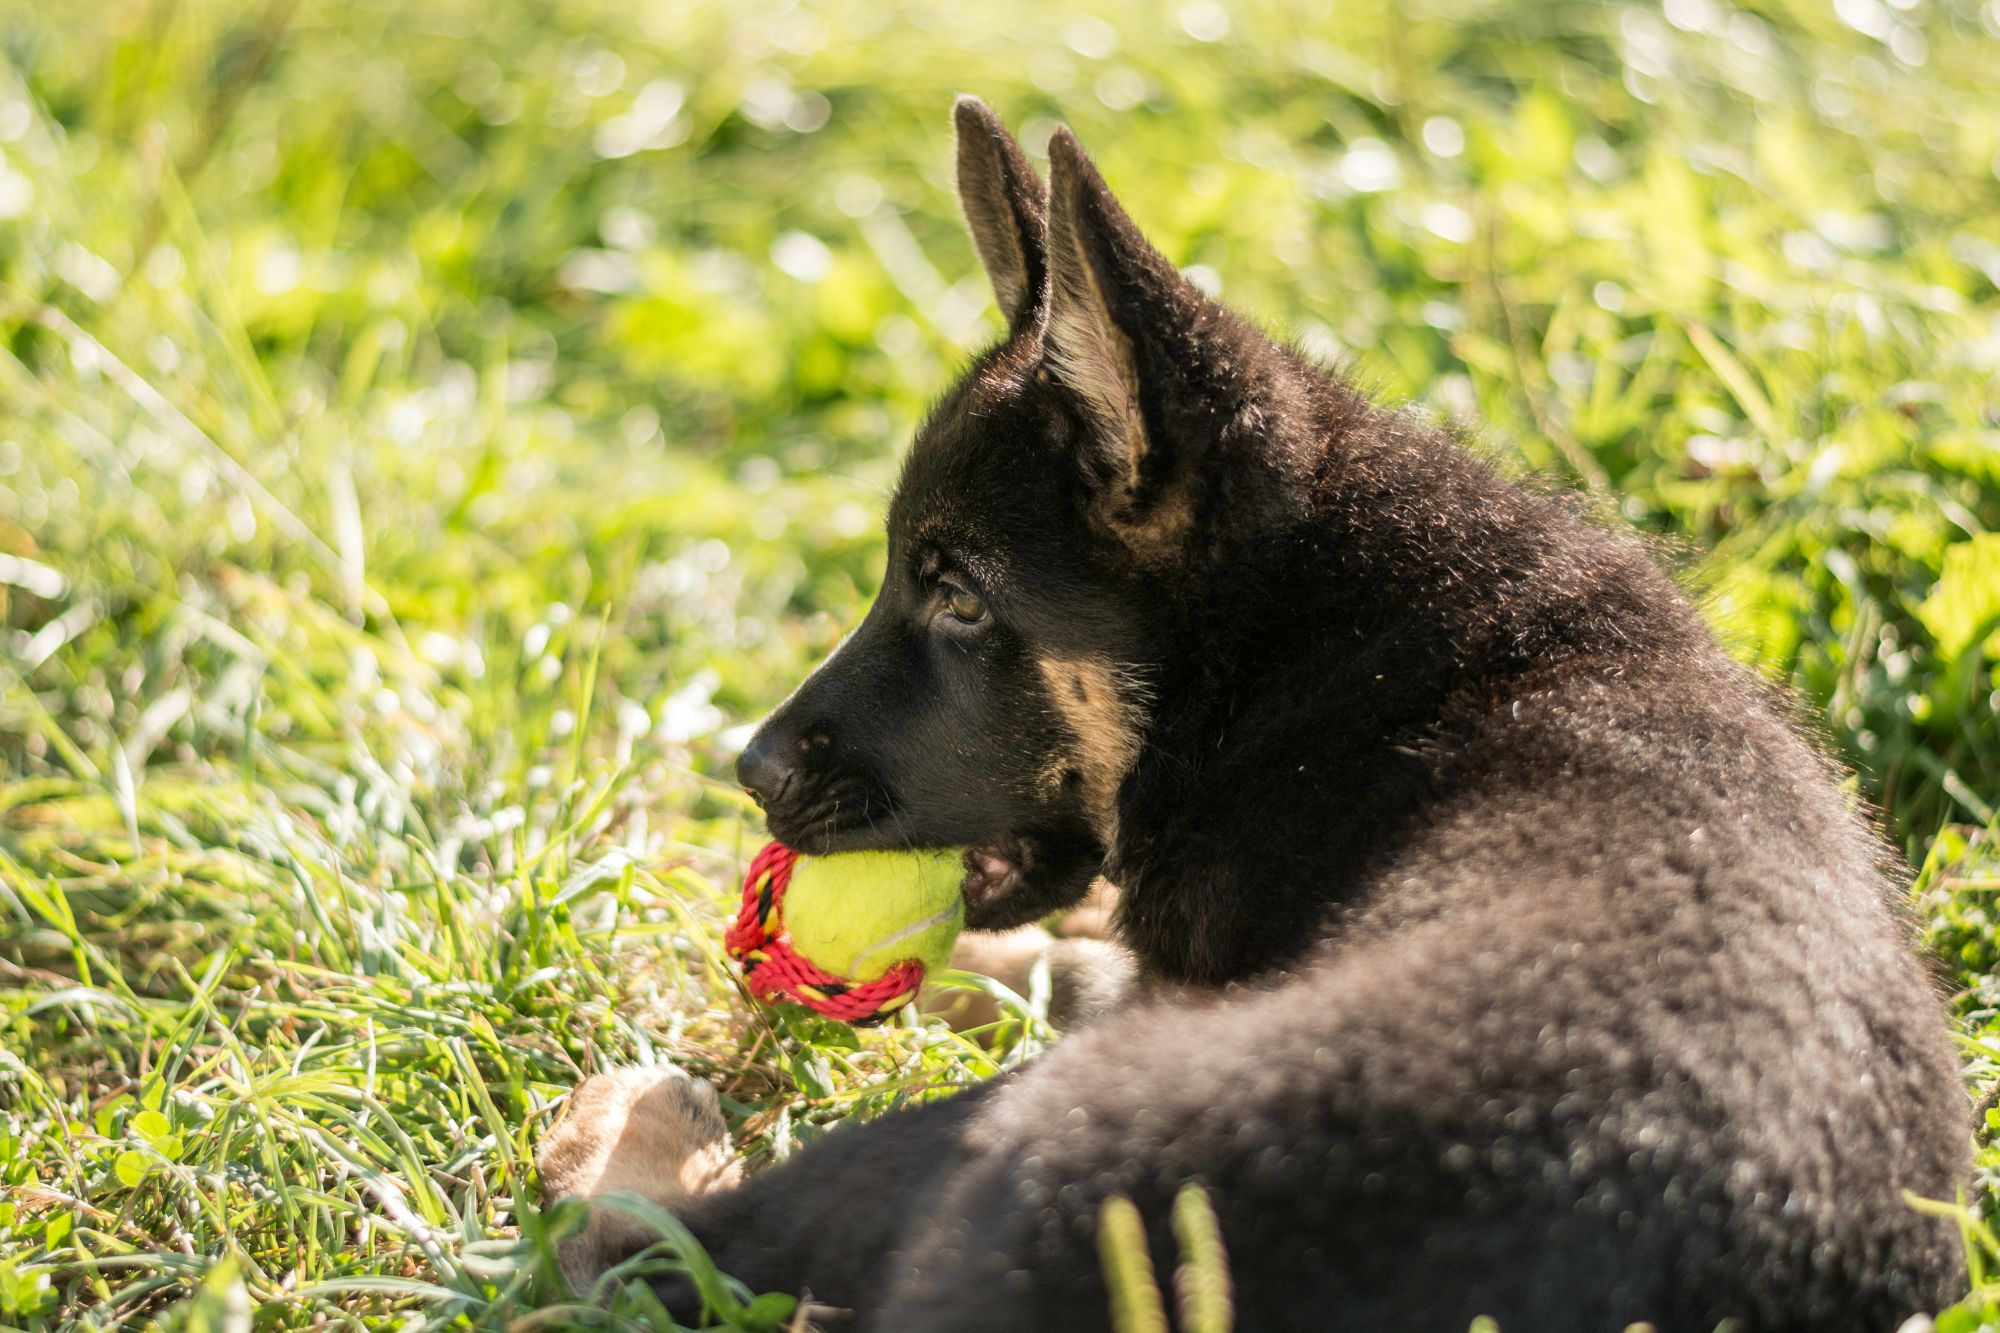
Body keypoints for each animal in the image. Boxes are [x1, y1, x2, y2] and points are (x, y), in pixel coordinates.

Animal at [536, 98, 1968, 1320]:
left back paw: (628, 1124)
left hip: (1039, 1129)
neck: (1300, 661)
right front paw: (989, 961)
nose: (748, 768)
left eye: (956, 596)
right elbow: (1087, 957)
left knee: (639, 1254)